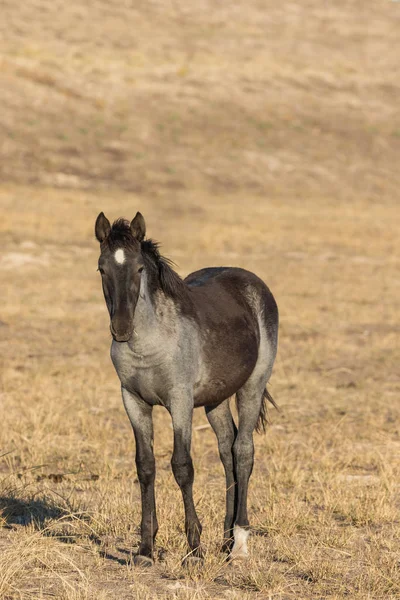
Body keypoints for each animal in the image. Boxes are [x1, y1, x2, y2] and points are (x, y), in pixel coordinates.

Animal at [95, 211, 280, 568]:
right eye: (102, 268)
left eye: (139, 269)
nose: (121, 329)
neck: (151, 343)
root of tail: (253, 283)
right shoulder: (133, 401)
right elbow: (145, 466)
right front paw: (145, 549)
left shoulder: (179, 402)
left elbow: (182, 466)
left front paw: (194, 549)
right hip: (215, 400)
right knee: (226, 451)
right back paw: (225, 539)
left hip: (252, 386)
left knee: (243, 451)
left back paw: (239, 544)